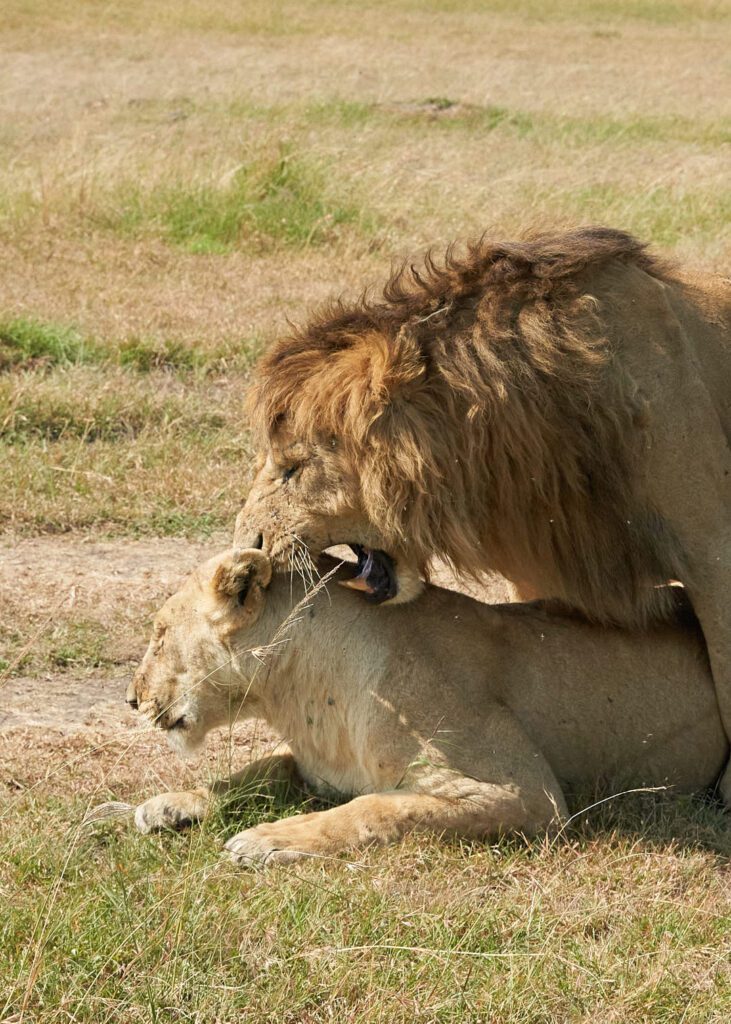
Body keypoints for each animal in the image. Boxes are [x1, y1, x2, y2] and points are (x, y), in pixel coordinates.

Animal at [126, 548, 727, 865]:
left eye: (159, 634)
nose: (131, 700)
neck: (297, 690)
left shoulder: (530, 794)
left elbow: (376, 808)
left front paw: (271, 838)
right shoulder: (316, 764)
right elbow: (256, 769)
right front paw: (171, 804)